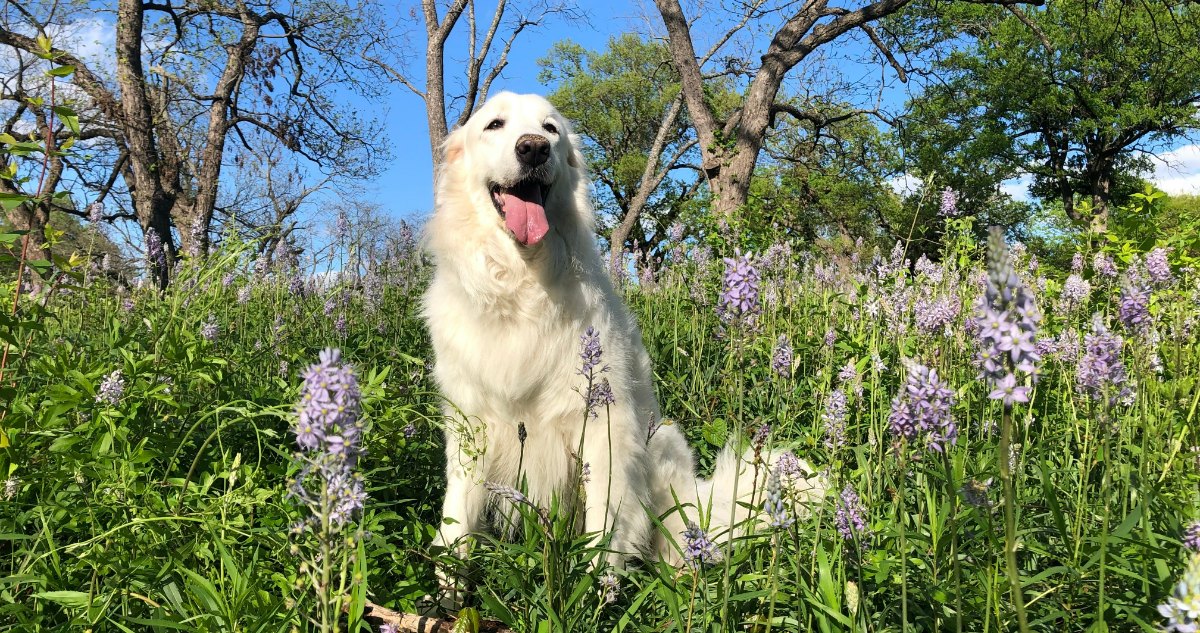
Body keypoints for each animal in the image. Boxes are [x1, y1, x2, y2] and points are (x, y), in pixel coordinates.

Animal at [422, 92, 825, 582]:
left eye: (550, 128)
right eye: (494, 125)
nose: (534, 148)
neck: (522, 289)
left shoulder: (604, 429)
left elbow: (602, 528)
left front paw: (597, 588)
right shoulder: (471, 430)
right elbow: (455, 527)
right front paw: (446, 593)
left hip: (663, 456)